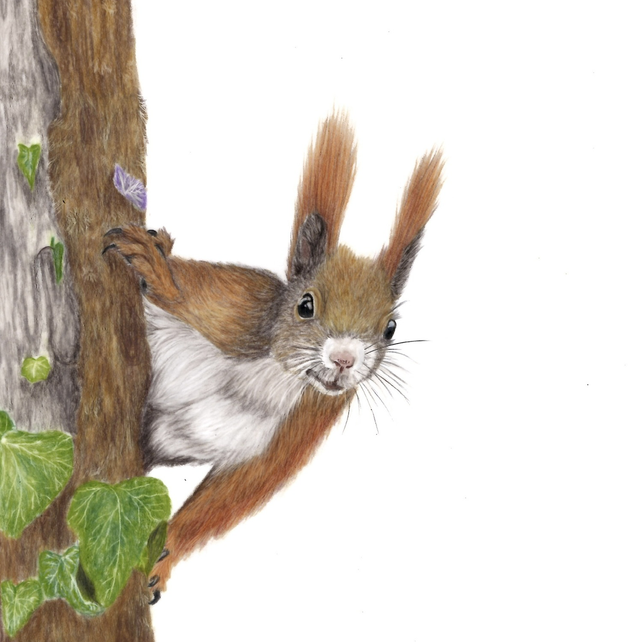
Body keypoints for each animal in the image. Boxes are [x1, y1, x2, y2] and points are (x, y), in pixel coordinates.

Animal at [103, 113, 444, 602]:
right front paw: (157, 267)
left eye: (390, 329)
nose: (344, 361)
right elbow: (195, 291)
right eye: (305, 305)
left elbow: (229, 496)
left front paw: (163, 560)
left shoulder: (302, 427)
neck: (276, 375)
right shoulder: (241, 307)